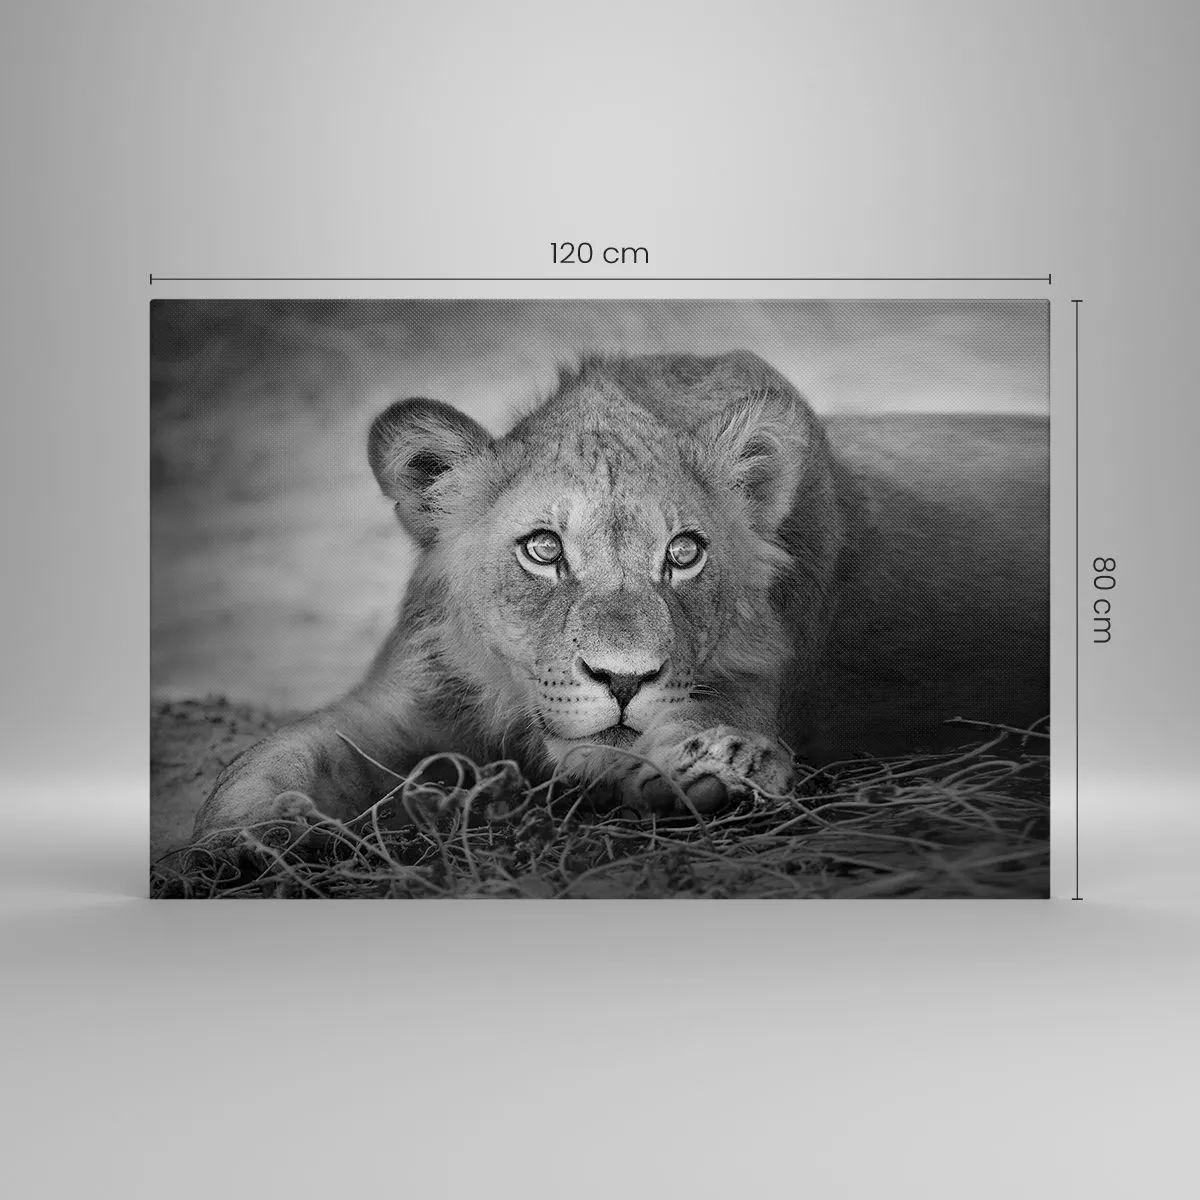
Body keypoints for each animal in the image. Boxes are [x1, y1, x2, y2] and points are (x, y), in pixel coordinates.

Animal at [191, 350, 1048, 847]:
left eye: (684, 553)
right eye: (543, 549)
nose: (625, 680)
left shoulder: (748, 683)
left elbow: (697, 726)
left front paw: (720, 766)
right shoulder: (400, 701)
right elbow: (274, 758)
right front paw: (236, 846)